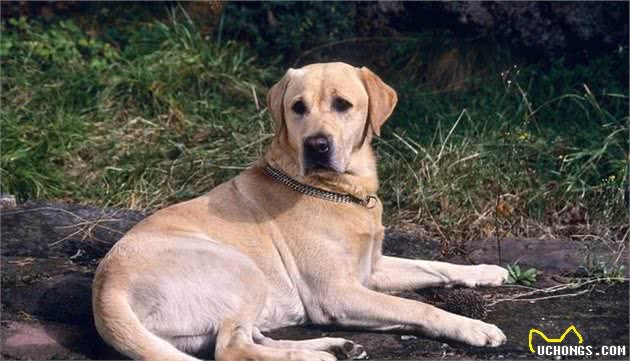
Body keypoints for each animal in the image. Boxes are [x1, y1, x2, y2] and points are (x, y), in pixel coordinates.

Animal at [94, 62, 508, 360]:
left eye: (342, 104)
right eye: (298, 108)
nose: (317, 145)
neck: (340, 192)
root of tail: (106, 293)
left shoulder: (371, 270)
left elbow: (435, 266)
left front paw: (485, 271)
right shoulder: (338, 294)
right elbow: (416, 309)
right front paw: (472, 327)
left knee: (249, 338)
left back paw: (333, 346)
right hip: (243, 269)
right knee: (231, 348)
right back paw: (315, 356)